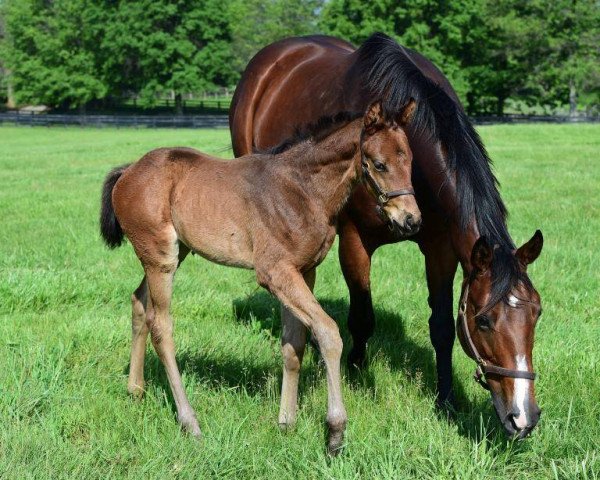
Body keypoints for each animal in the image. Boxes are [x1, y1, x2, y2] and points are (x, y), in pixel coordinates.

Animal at [102, 101, 422, 454]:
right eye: (379, 164)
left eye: (410, 160)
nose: (411, 220)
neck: (302, 190)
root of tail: (127, 172)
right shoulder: (275, 272)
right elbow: (328, 333)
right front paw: (335, 432)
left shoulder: (304, 271)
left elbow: (294, 343)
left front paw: (287, 423)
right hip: (161, 260)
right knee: (160, 325)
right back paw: (190, 422)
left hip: (172, 254)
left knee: (138, 303)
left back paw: (135, 390)